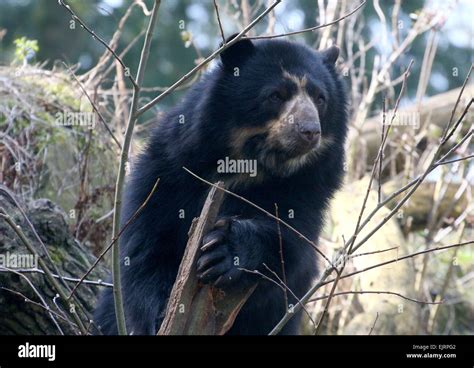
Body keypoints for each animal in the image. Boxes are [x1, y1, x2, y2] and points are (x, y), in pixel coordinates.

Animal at [94, 35, 350, 336]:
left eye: (321, 99)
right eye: (275, 95)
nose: (309, 131)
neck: (249, 165)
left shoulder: (307, 190)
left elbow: (287, 243)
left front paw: (223, 253)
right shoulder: (170, 168)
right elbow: (145, 243)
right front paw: (158, 315)